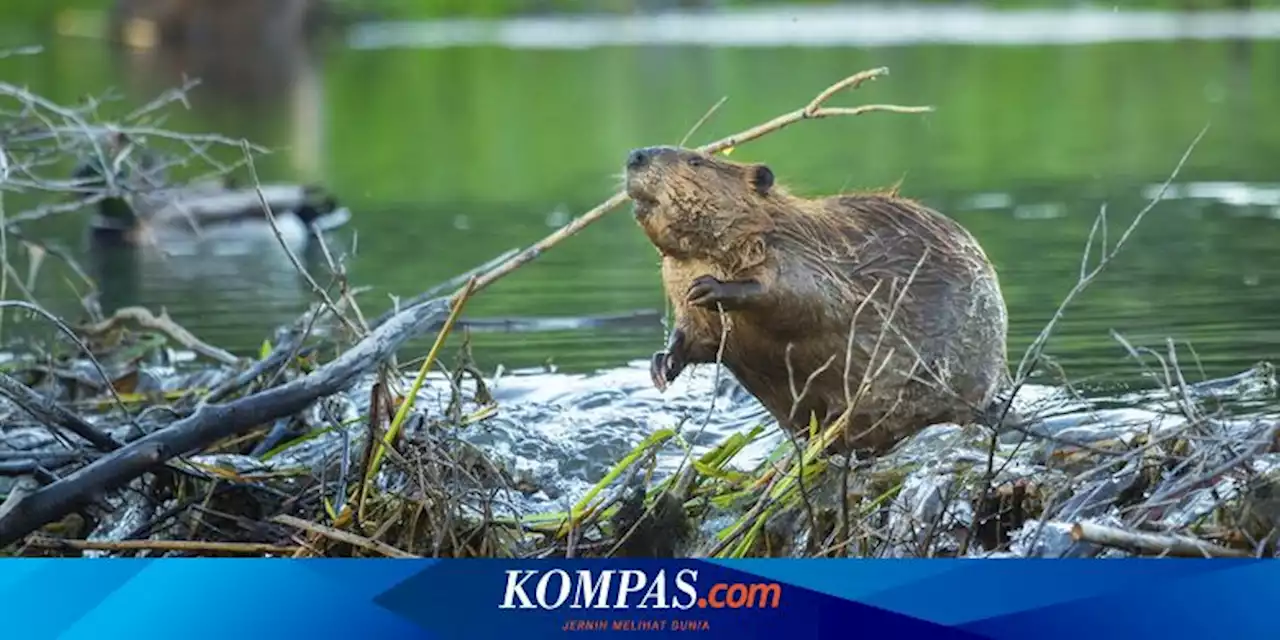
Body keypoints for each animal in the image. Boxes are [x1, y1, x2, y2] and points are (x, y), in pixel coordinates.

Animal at [624, 145, 1013, 455]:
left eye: (695, 161)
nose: (636, 156)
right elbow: (696, 335)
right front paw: (662, 365)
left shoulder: (802, 253)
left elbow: (803, 297)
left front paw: (710, 288)